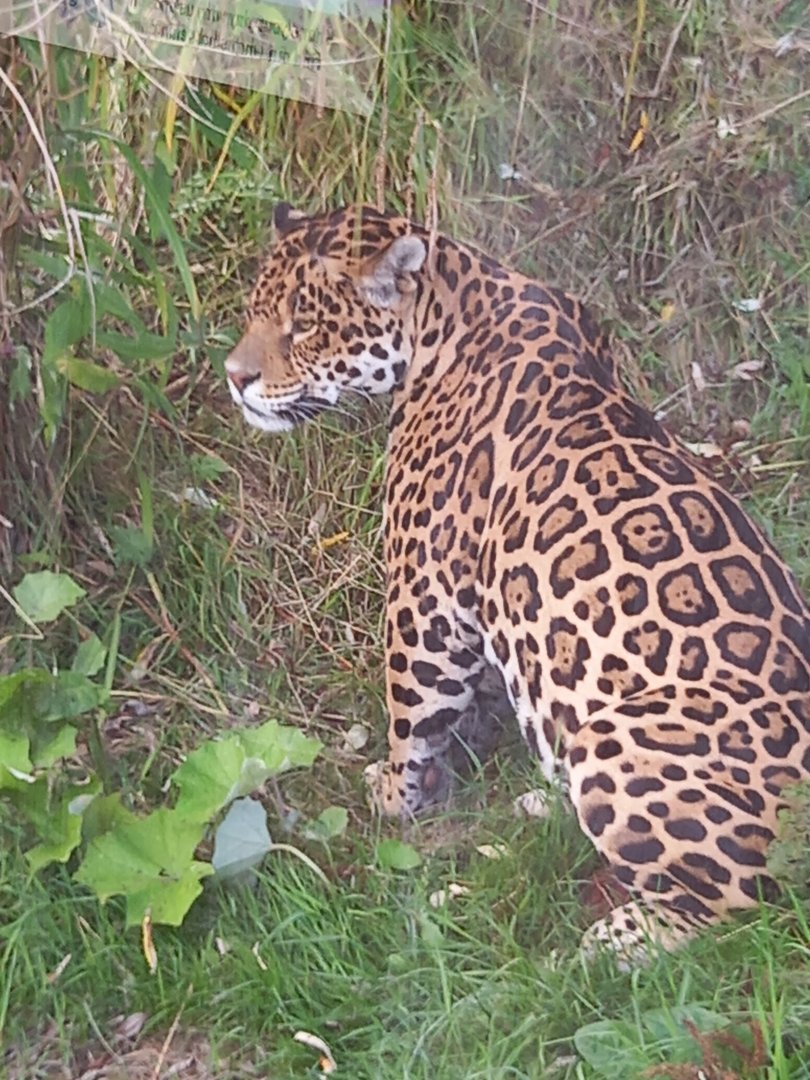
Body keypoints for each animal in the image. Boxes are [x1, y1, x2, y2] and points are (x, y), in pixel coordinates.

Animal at [225, 202, 810, 965]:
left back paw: (606, 946)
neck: (454, 306)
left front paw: (395, 795)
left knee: (734, 905)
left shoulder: (426, 593)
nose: (233, 377)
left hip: (620, 740)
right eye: (254, 312)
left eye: (304, 325)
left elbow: (411, 709)